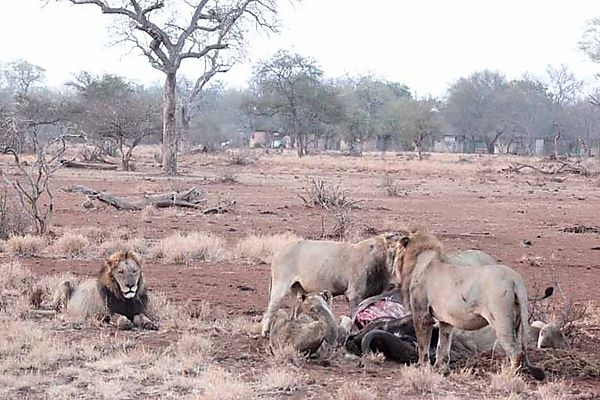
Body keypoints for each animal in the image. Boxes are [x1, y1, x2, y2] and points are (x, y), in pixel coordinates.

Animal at [262, 233, 404, 336]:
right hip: (281, 284)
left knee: (294, 309)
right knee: (271, 308)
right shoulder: (354, 294)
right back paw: (265, 332)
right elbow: (354, 316)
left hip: (297, 289)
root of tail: (278, 252)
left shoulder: (376, 293)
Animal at [396, 230, 548, 380]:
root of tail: (515, 279)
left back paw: (507, 375)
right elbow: (443, 345)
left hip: (501, 320)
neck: (419, 259)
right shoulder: (446, 320)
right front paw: (441, 369)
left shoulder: (421, 314)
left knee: (516, 352)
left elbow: (423, 345)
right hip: (515, 320)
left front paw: (421, 367)